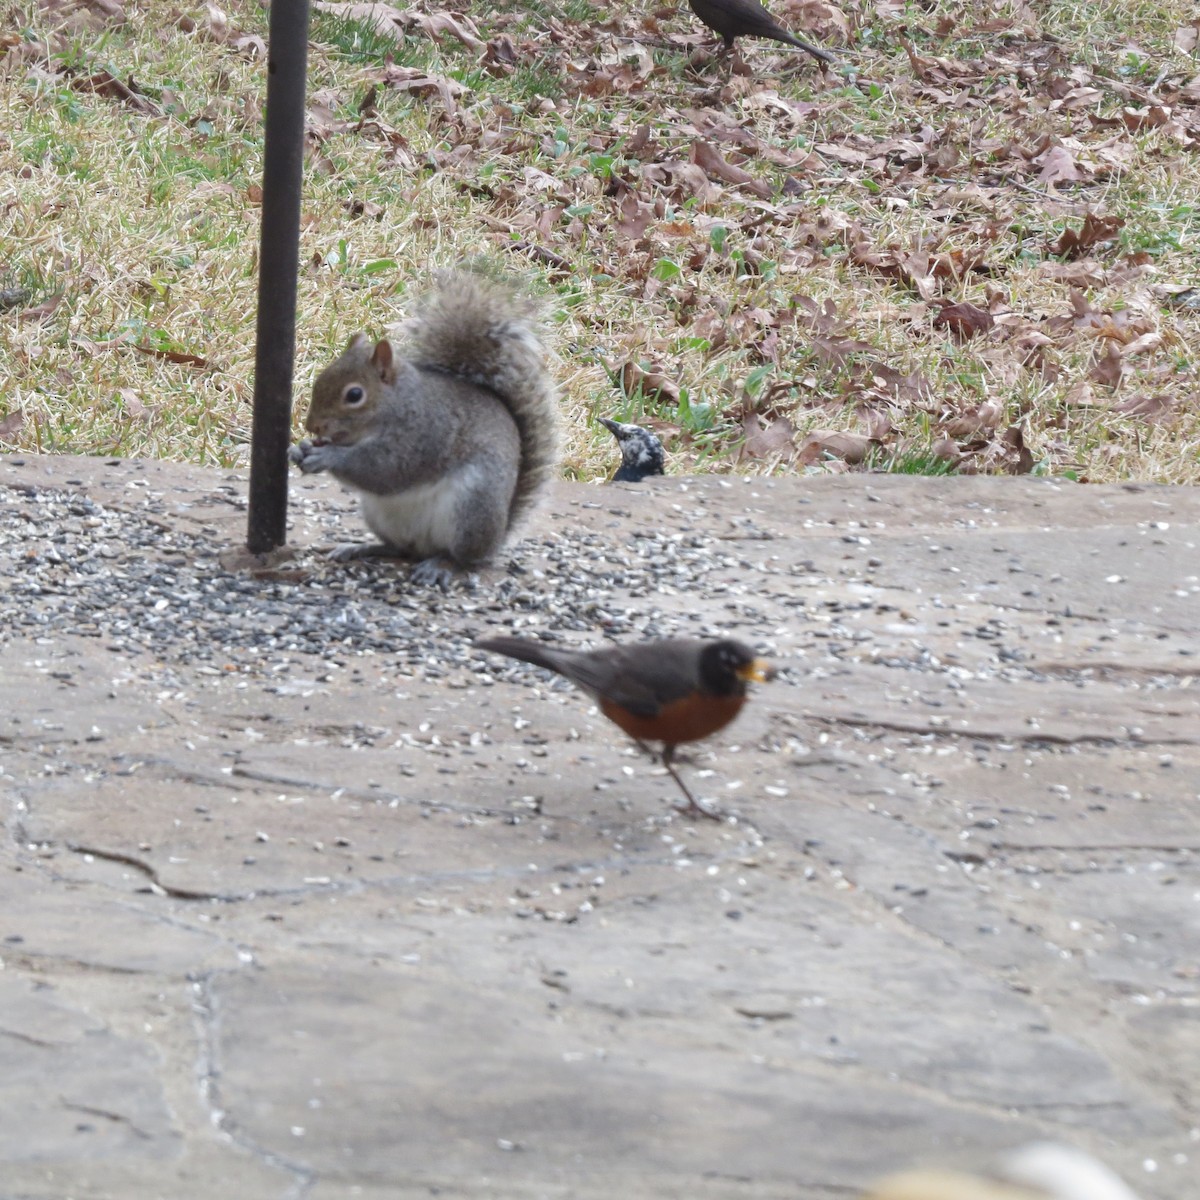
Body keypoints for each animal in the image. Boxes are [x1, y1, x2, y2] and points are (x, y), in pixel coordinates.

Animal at [290, 273, 556, 590]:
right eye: (320, 378)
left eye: (354, 395)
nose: (312, 426)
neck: (400, 404)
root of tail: (496, 538)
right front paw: (300, 449)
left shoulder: (424, 436)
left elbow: (382, 470)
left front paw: (326, 457)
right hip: (379, 515)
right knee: (400, 549)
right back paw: (361, 548)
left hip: (471, 511)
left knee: (462, 558)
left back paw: (440, 566)